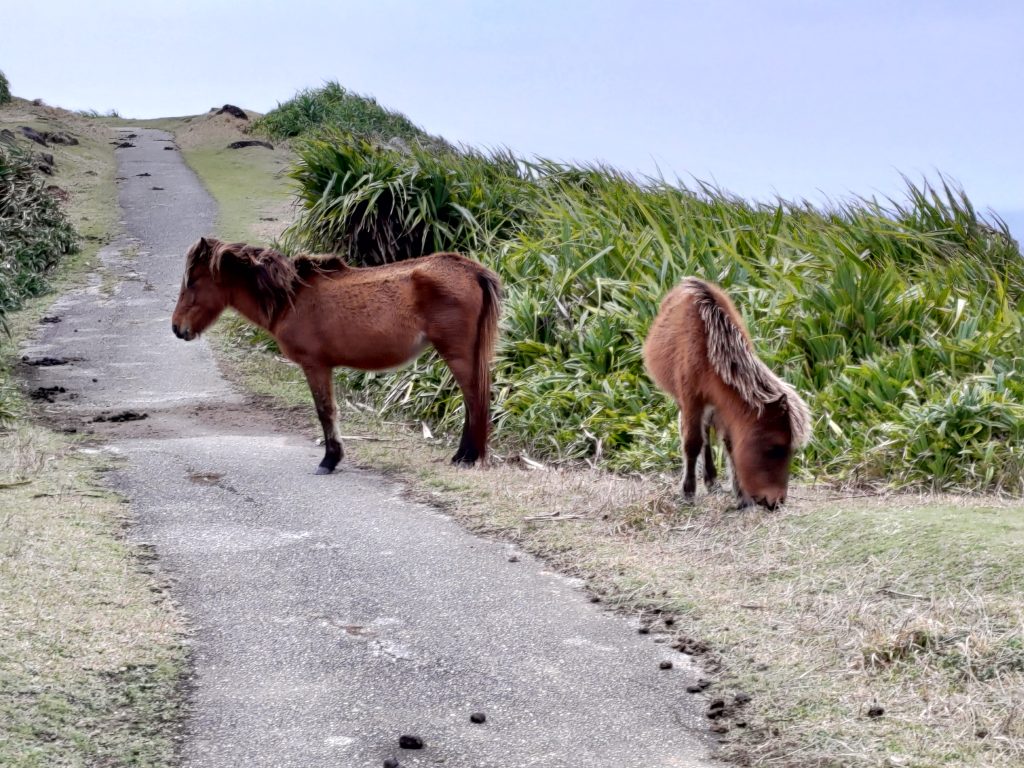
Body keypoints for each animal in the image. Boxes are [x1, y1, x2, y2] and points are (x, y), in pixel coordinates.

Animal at [172, 236, 499, 475]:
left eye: (192, 282)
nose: (177, 327)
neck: (290, 299)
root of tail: (471, 270)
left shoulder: (315, 366)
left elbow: (325, 411)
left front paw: (329, 459)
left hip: (457, 353)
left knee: (474, 399)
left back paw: (467, 456)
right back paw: (464, 455)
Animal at [643, 278, 811, 512]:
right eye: (774, 447)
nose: (776, 501)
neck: (708, 351)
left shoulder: (724, 407)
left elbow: (729, 445)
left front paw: (742, 497)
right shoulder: (692, 402)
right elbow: (692, 443)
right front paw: (688, 492)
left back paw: (712, 480)